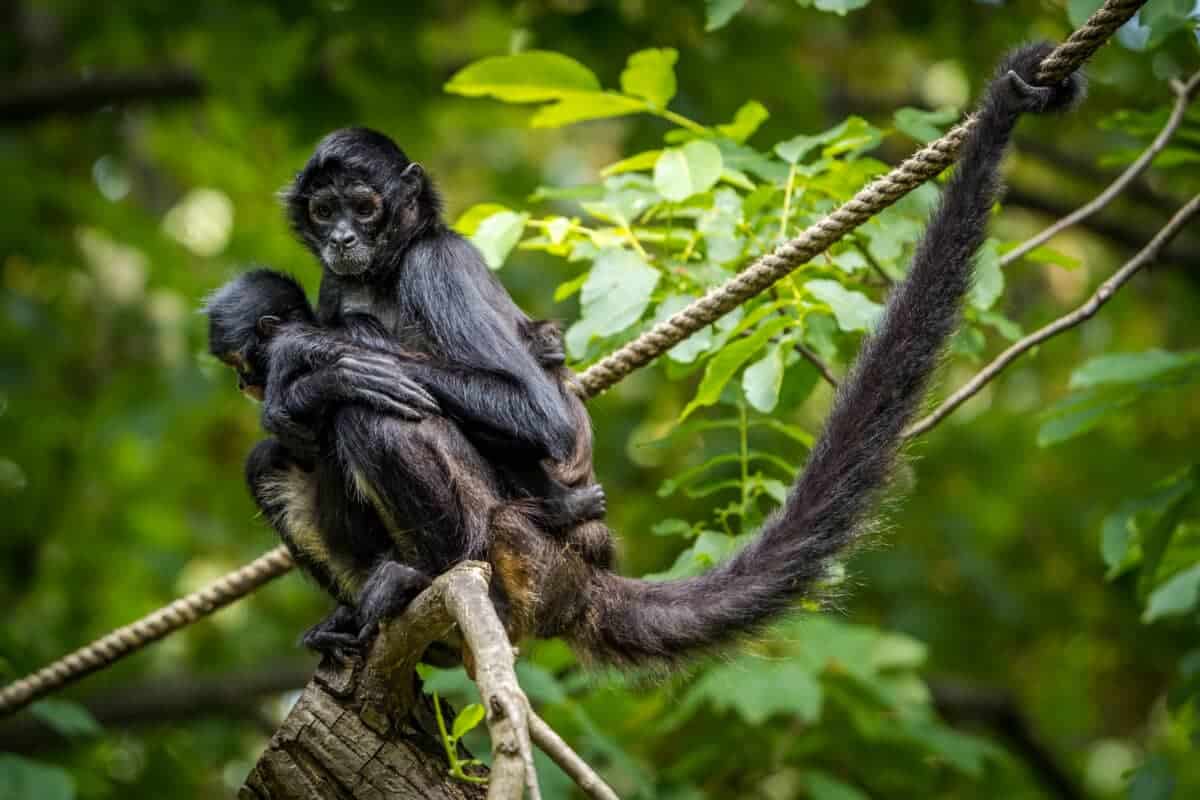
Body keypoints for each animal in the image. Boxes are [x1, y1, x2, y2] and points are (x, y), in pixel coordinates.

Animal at [251, 44, 1083, 666]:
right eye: (323, 212)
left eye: (365, 207)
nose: (343, 237)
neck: (385, 276)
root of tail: (576, 573)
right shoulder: (337, 283)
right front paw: (300, 373)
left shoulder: (437, 264)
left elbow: (540, 418)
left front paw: (318, 359)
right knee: (275, 459)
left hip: (506, 533)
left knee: (374, 408)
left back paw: (427, 568)